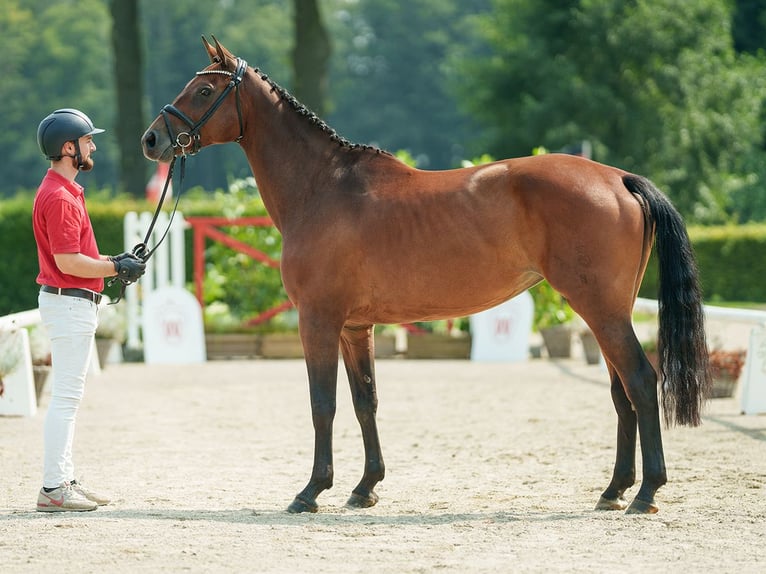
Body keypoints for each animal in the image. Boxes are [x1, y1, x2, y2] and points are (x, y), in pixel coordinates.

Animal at [141, 39, 712, 516]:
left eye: (204, 90)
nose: (151, 139)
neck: (323, 188)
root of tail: (618, 178)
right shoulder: (355, 328)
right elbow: (365, 401)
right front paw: (365, 487)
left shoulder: (317, 321)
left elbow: (323, 404)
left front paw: (311, 491)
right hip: (604, 311)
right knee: (621, 392)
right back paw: (613, 490)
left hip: (601, 310)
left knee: (640, 381)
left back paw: (646, 493)